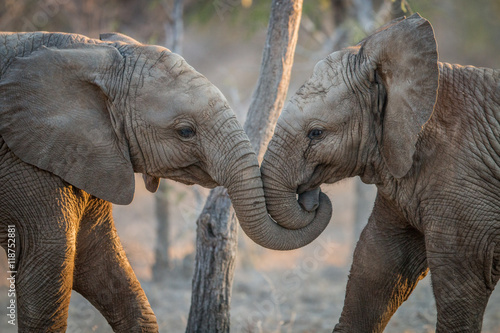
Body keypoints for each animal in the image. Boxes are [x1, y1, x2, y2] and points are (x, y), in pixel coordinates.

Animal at [0, 30, 332, 330]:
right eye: (185, 131)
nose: (313, 196)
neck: (89, 50)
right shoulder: (25, 164)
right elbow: (52, 268)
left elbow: (99, 260)